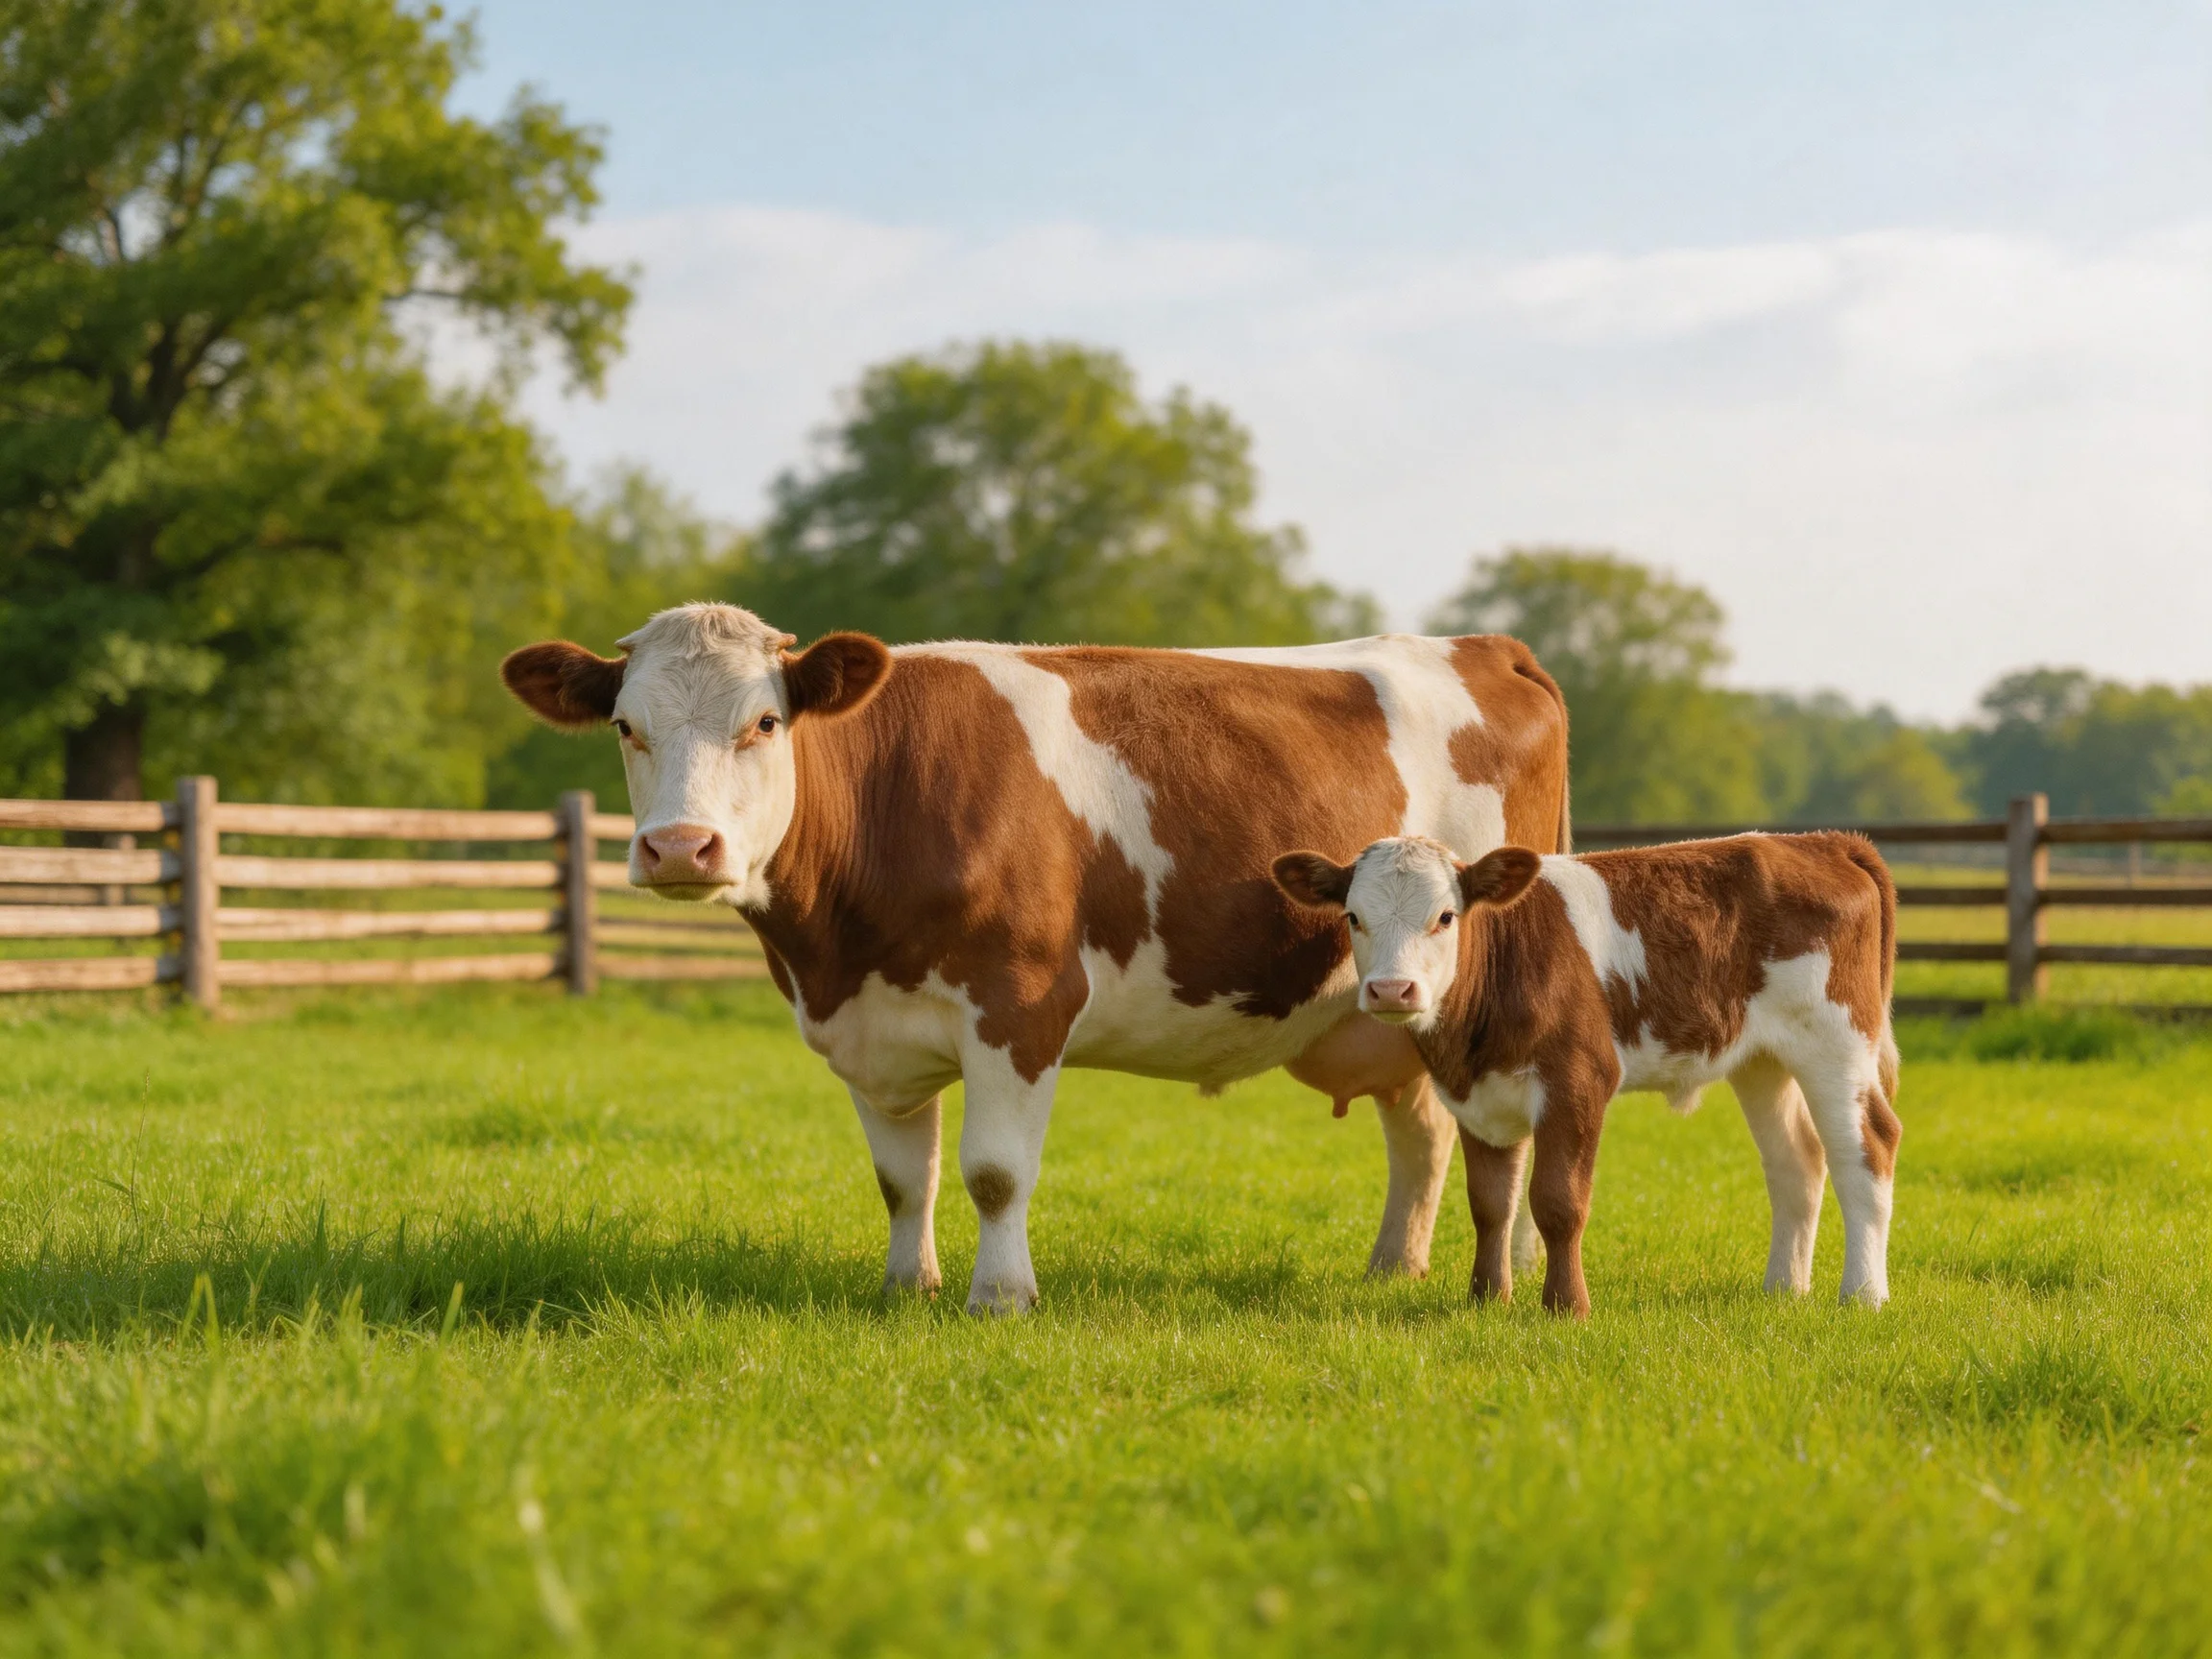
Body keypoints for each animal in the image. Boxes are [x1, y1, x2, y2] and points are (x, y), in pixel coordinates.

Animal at [502, 603, 1570, 1313]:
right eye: (626, 726)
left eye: (763, 723)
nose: (680, 848)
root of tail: (1484, 644)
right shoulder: (868, 1028)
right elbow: (905, 1178)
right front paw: (908, 1287)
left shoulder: (1019, 1006)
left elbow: (992, 1172)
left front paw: (1001, 1297)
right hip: (1389, 1003)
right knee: (1422, 1131)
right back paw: (1396, 1265)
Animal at [1271, 831, 1900, 1316]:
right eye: (1354, 916)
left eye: (1445, 917)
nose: (1391, 989)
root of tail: (1820, 842)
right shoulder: (1476, 1100)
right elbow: (1489, 1204)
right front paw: (1486, 1300)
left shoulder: (1577, 1081)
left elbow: (1558, 1202)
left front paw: (1565, 1307)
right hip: (1762, 1061)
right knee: (1797, 1161)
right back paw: (1783, 1290)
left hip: (1837, 1043)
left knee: (1866, 1150)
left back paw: (1863, 1296)